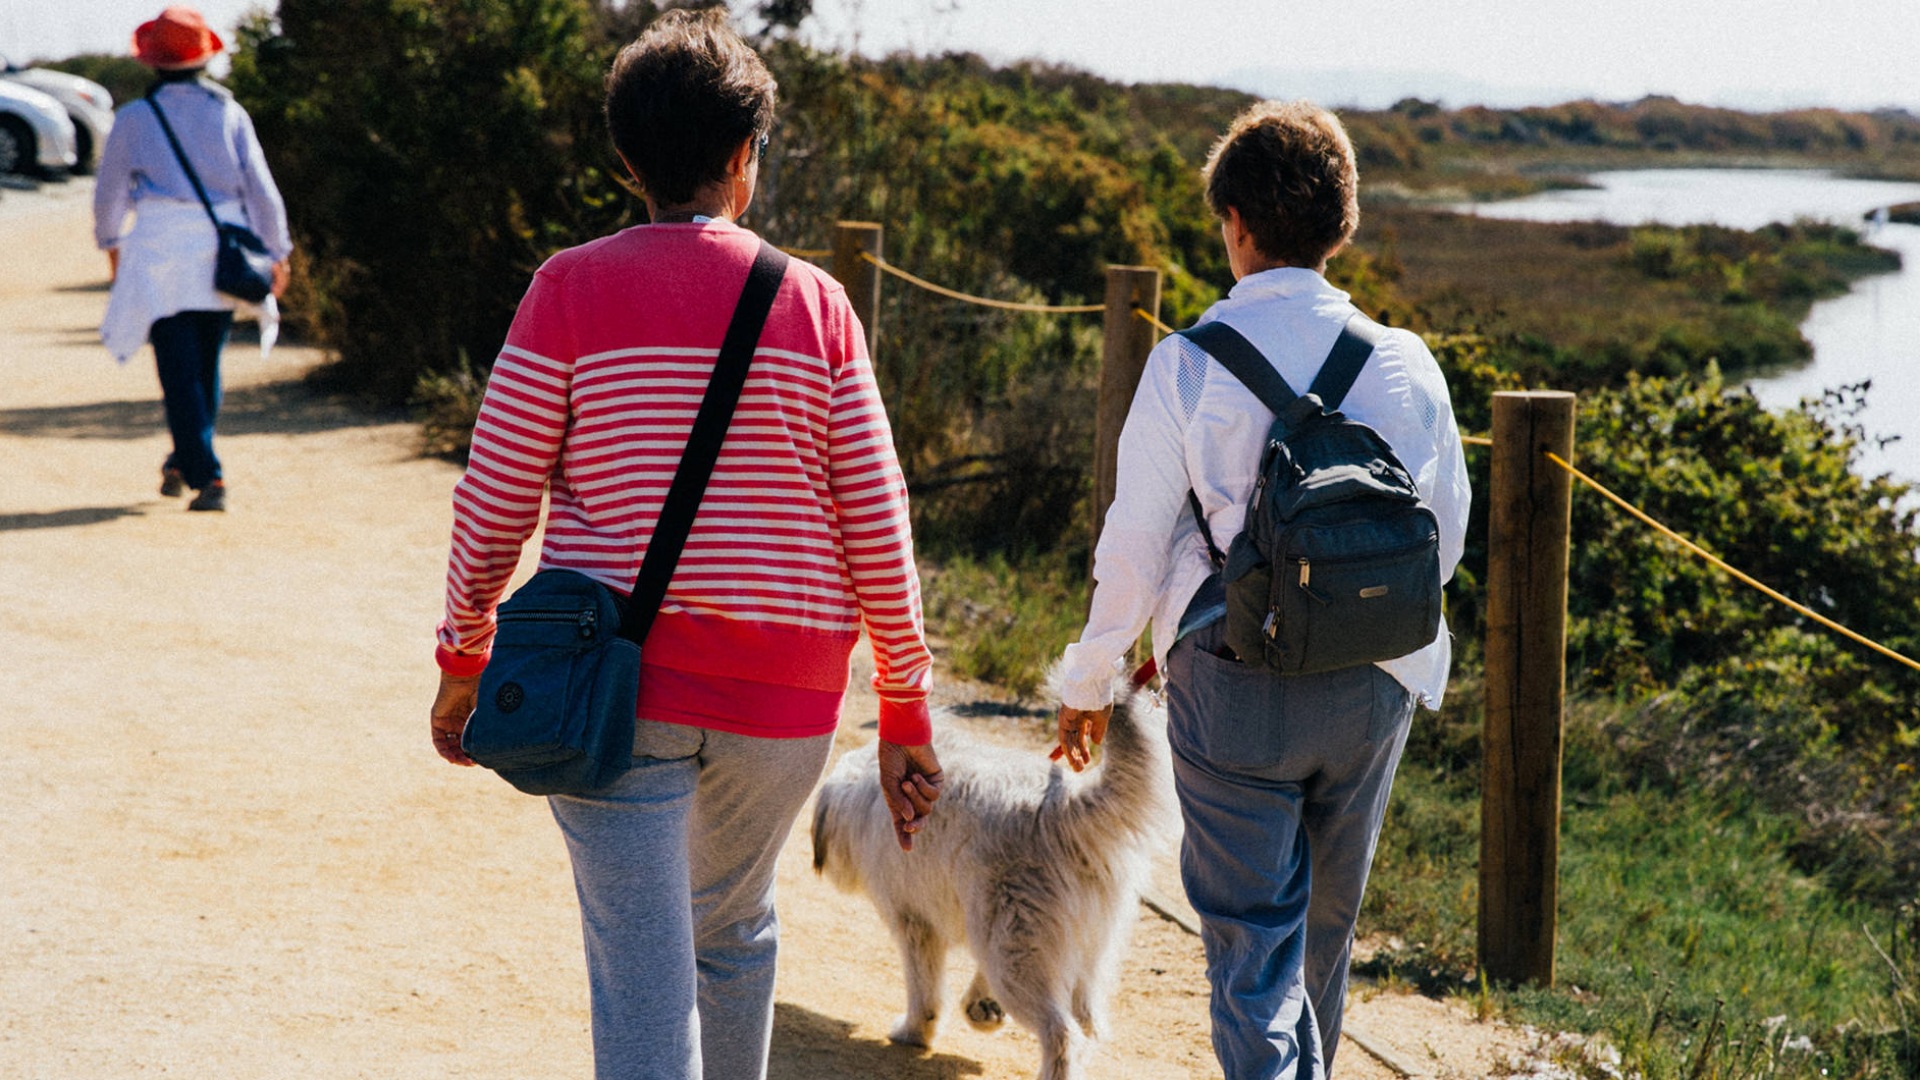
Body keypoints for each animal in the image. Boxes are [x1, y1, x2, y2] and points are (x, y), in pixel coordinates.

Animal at [806, 672, 1167, 1076]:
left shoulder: (915, 926)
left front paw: (914, 1031)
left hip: (1016, 956)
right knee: (1086, 1025)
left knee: (1062, 1033)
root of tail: (1061, 806)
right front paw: (983, 1007)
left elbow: (924, 991)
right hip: (1072, 951)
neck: (869, 791)